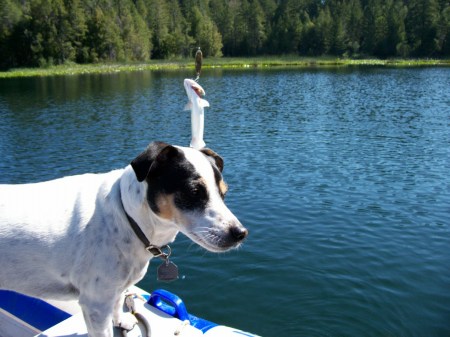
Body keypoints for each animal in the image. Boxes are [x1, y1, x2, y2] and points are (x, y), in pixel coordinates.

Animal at [0, 142, 246, 336]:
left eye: (224, 192)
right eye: (194, 191)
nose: (240, 233)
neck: (126, 216)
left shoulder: (115, 288)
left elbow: (119, 302)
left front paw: (121, 321)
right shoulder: (96, 303)